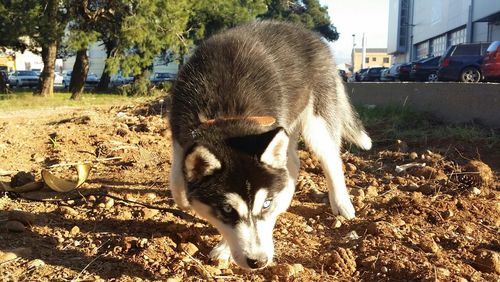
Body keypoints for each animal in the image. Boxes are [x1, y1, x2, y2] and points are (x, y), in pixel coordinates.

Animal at [170, 21, 370, 268]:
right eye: (227, 210)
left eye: (265, 204)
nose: (258, 261)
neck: (229, 114)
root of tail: (309, 33)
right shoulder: (180, 136)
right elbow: (178, 185)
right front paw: (185, 197)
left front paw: (224, 248)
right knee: (292, 163)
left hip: (317, 125)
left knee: (330, 160)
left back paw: (341, 203)